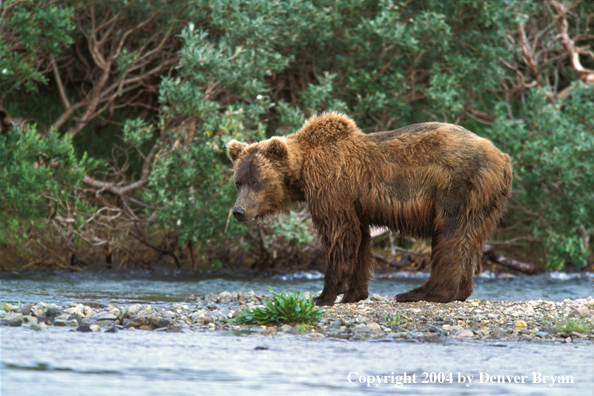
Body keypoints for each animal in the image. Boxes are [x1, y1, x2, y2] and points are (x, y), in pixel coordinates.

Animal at [225, 111, 508, 306]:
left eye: (256, 182)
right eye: (238, 181)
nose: (238, 211)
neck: (304, 172)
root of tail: (501, 156)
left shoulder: (332, 187)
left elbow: (339, 234)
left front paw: (324, 295)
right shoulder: (354, 201)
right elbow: (359, 240)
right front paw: (354, 293)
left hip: (456, 186)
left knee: (451, 235)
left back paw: (422, 292)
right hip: (486, 202)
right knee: (471, 239)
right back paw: (459, 291)